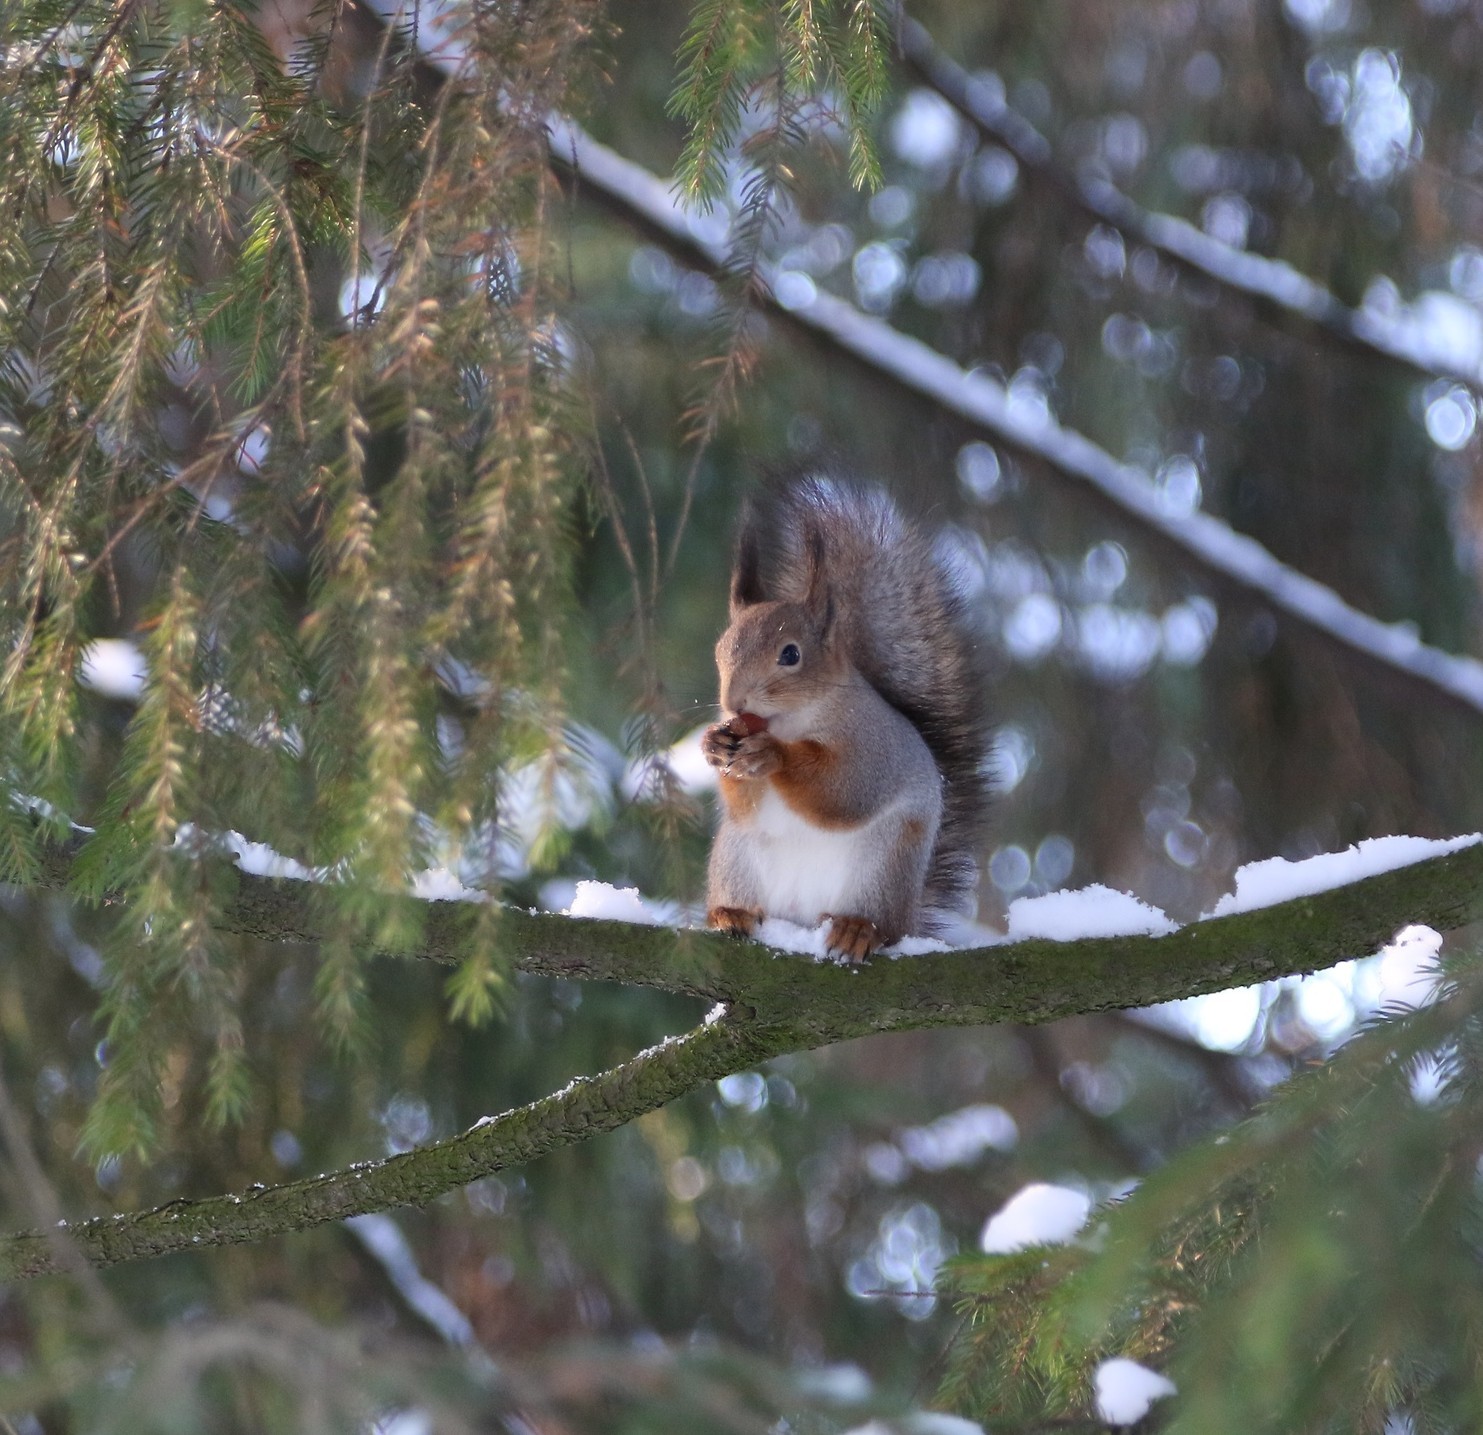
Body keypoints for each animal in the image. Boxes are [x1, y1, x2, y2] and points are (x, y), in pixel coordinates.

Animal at [699, 477, 990, 960]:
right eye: (720, 650)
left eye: (791, 654)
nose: (734, 704)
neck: (790, 721)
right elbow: (744, 805)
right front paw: (713, 745)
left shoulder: (873, 746)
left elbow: (843, 792)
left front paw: (773, 755)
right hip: (737, 859)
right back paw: (730, 913)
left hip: (881, 870)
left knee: (881, 925)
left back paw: (857, 930)